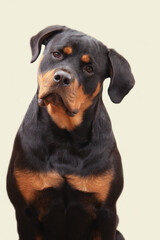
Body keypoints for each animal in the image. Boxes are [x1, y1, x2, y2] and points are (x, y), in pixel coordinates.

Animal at [6, 24, 134, 240]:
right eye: (57, 54)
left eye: (89, 69)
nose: (62, 77)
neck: (65, 136)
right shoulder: (25, 212)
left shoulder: (106, 212)